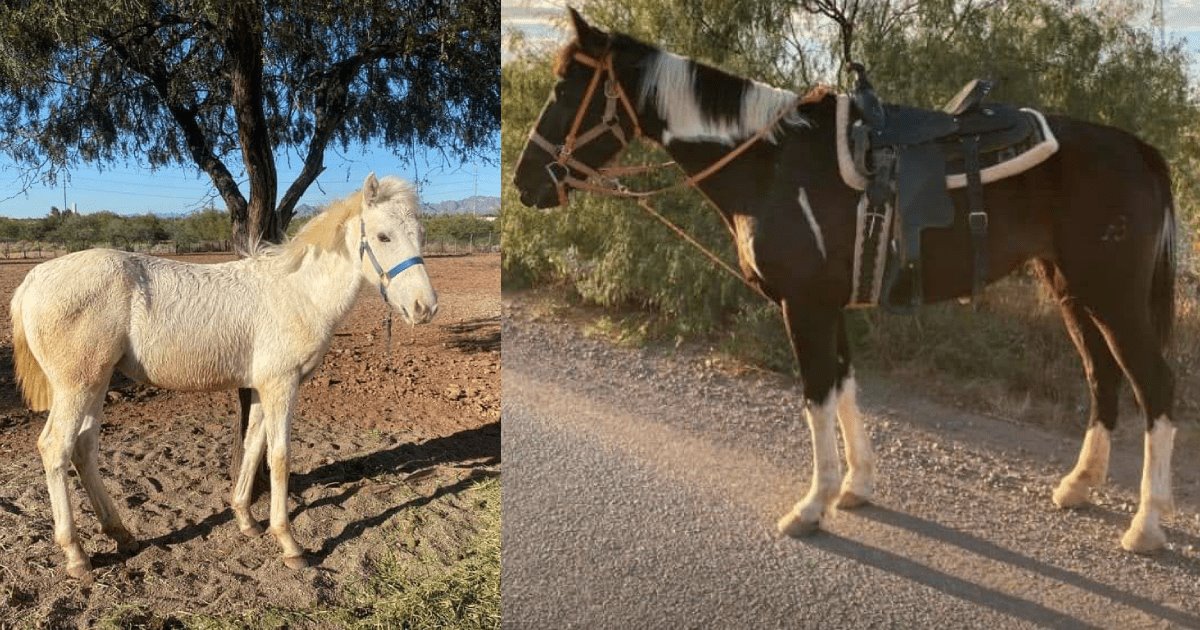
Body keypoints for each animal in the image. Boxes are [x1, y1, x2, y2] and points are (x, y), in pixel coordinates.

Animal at [511, 8, 1176, 549]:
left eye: (565, 87)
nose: (525, 183)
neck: (772, 163)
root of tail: (1140, 149)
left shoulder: (803, 305)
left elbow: (815, 397)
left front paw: (812, 506)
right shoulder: (832, 305)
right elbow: (847, 387)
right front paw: (857, 485)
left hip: (1112, 295)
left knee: (1155, 388)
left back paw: (1145, 526)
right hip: (1071, 289)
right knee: (1102, 377)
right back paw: (1080, 486)